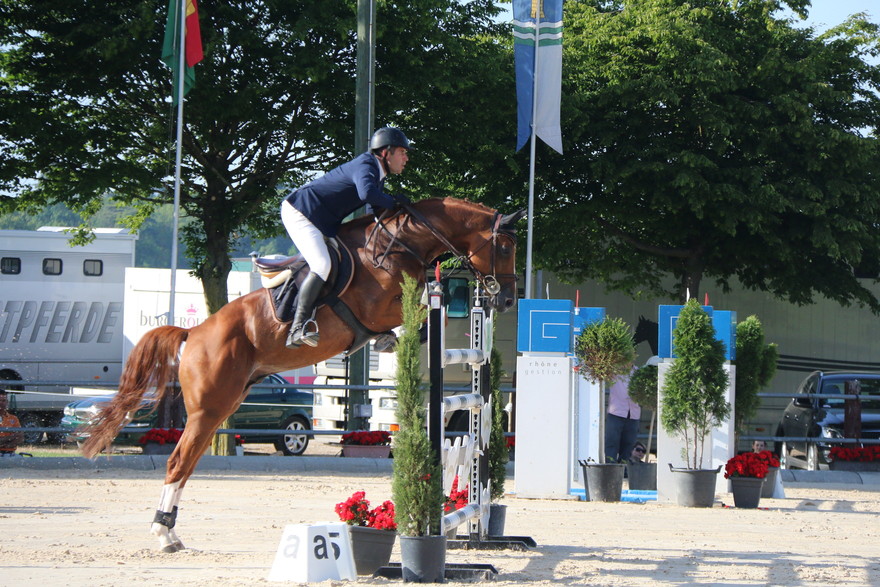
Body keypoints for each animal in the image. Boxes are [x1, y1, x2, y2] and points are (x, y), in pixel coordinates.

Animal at [80, 197, 523, 552]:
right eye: (504, 246)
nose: (505, 299)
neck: (399, 244)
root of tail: (194, 333)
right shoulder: (382, 306)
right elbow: (424, 313)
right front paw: (399, 338)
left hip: (221, 407)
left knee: (186, 464)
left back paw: (170, 531)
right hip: (208, 409)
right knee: (176, 462)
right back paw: (162, 534)